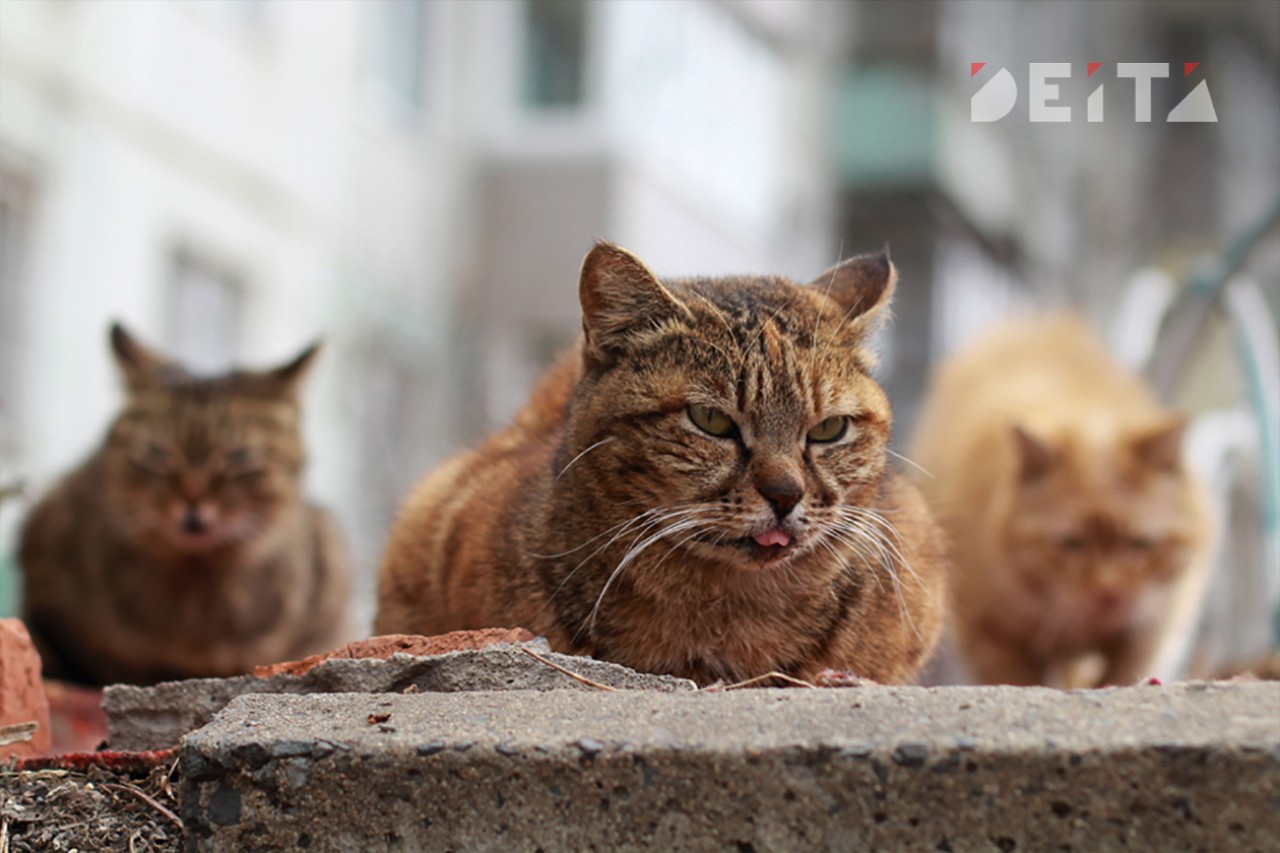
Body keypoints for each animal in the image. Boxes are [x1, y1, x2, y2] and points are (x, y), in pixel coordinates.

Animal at [911, 312, 1208, 686]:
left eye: (1141, 544)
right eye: (1071, 543)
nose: (1109, 593)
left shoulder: (1150, 625)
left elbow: (1123, 671)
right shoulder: (990, 631)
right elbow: (1017, 678)